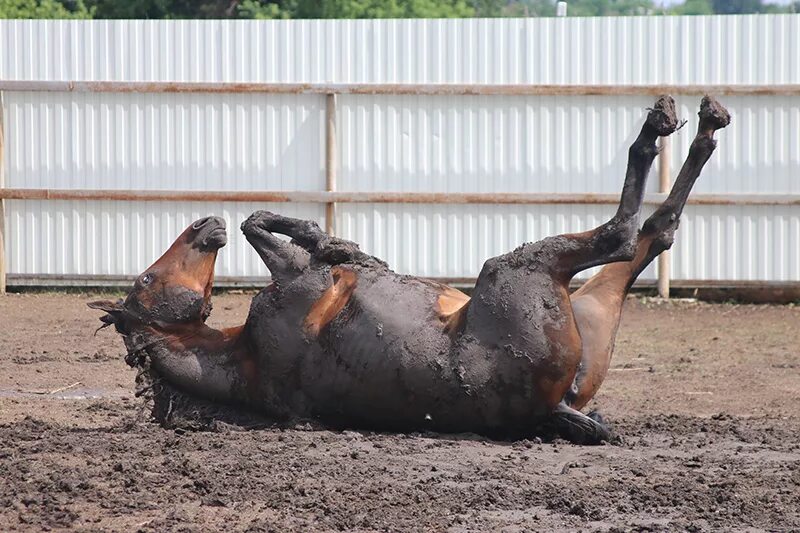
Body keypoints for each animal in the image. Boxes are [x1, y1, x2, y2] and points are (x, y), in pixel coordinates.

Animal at [90, 96, 728, 444]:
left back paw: (705, 121)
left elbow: (293, 234)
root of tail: (553, 409)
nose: (204, 224)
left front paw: (324, 238)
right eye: (145, 281)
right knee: (624, 235)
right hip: (524, 269)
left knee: (654, 233)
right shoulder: (297, 288)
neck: (241, 356)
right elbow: (264, 234)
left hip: (592, 308)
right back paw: (671, 123)